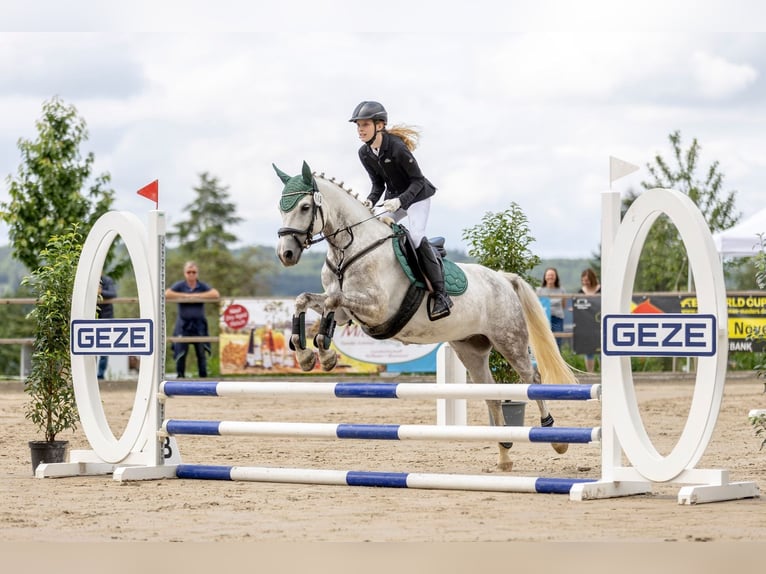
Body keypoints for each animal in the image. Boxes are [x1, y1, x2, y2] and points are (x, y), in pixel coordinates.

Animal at [274, 161, 578, 471]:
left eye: (305, 207)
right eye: (281, 207)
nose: (286, 254)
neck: (350, 250)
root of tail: (503, 278)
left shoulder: (376, 307)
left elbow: (332, 301)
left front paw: (324, 354)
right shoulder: (348, 312)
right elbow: (307, 300)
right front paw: (307, 355)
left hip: (509, 340)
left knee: (533, 379)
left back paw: (555, 438)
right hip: (471, 349)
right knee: (491, 393)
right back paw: (504, 455)